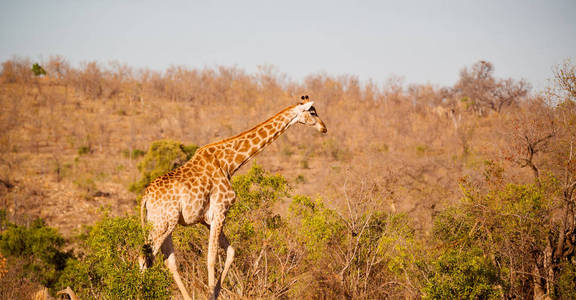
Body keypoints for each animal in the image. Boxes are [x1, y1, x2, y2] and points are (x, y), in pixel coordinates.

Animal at [140, 95, 326, 298]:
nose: (324, 128)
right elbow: (211, 258)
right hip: (163, 223)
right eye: (312, 112)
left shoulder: (207, 219)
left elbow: (230, 252)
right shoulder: (220, 210)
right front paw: (211, 293)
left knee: (167, 261)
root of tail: (145, 197)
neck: (229, 163)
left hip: (165, 223)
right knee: (145, 257)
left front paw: (216, 292)